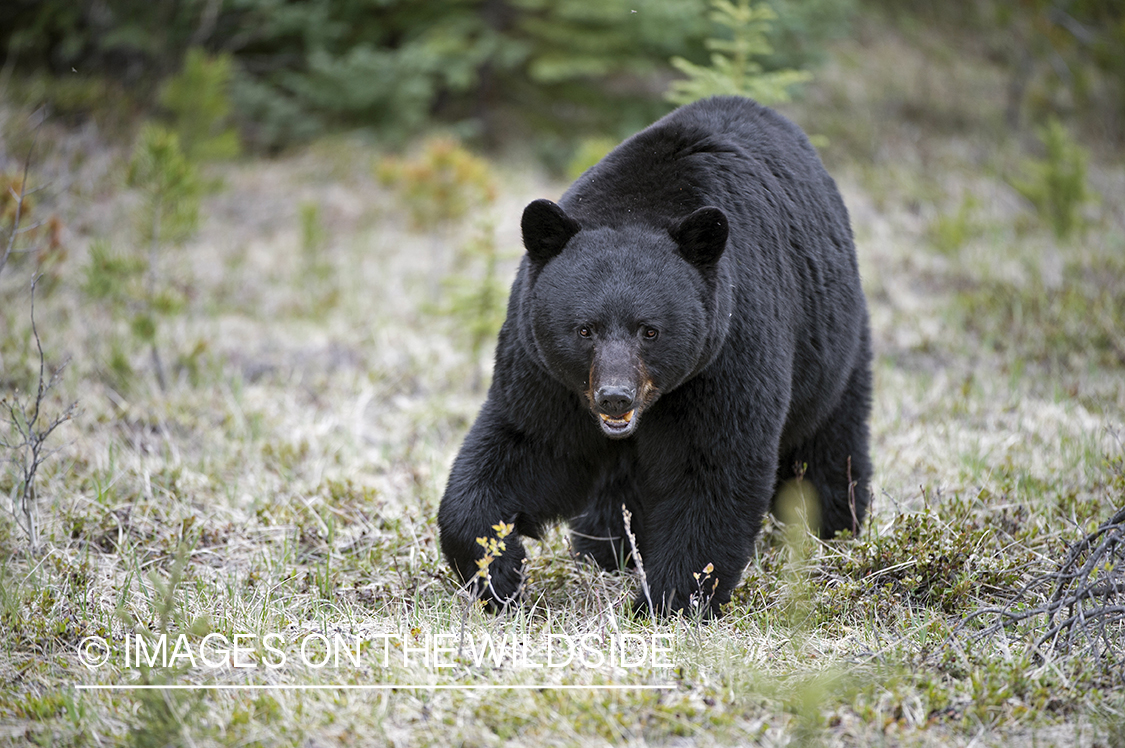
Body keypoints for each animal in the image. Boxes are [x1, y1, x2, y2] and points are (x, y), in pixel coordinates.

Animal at [436, 96, 868, 616]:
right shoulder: (546, 370)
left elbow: (713, 467)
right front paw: (497, 570)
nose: (614, 398)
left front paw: (668, 600)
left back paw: (833, 529)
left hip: (833, 348)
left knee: (829, 447)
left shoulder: (727, 351)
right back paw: (606, 548)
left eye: (650, 331)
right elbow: (529, 444)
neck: (637, 205)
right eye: (584, 329)